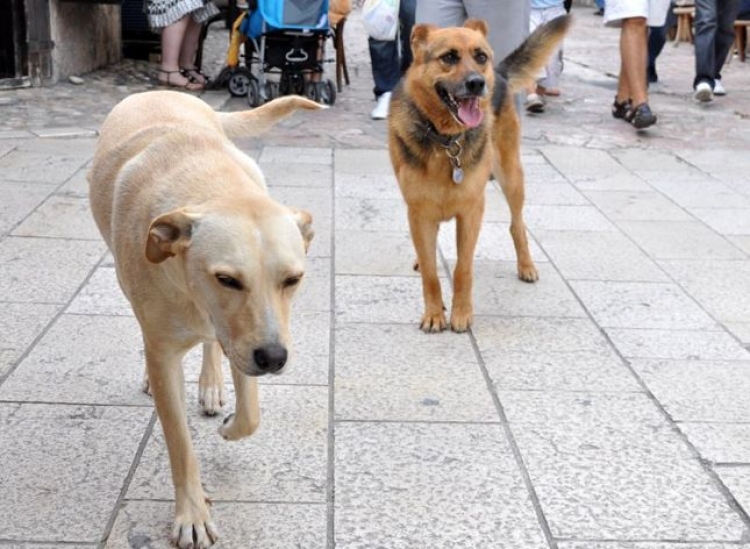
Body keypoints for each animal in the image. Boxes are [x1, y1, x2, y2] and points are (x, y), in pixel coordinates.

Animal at [89, 92, 322, 544]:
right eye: (226, 279)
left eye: (293, 279)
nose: (274, 359)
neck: (213, 186)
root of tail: (159, 92)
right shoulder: (169, 353)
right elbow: (180, 444)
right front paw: (192, 514)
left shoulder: (247, 338)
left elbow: (251, 414)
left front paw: (231, 424)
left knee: (213, 345)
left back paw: (213, 385)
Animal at [390, 17, 572, 332]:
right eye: (449, 57)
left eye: (480, 56)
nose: (477, 83)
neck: (446, 140)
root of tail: (498, 74)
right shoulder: (419, 213)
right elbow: (430, 272)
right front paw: (434, 312)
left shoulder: (471, 212)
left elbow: (463, 269)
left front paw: (461, 313)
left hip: (511, 176)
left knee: (517, 224)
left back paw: (526, 265)